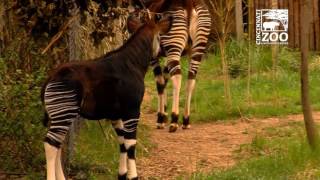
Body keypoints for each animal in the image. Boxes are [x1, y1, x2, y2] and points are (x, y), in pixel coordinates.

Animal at [42, 15, 172, 180]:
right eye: (160, 36)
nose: (164, 52)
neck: (133, 62)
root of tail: (51, 77)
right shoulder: (132, 110)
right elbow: (131, 143)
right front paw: (133, 176)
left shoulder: (115, 115)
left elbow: (122, 141)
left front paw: (122, 174)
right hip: (64, 111)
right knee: (50, 144)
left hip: (61, 114)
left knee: (58, 144)